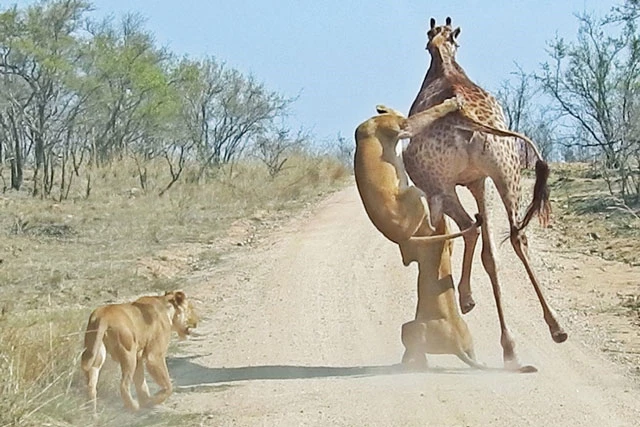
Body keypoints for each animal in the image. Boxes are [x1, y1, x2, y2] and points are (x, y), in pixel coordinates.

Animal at [402, 16, 568, 372]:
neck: (444, 62)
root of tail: (466, 117)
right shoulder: (479, 180)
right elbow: (487, 250)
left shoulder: (454, 185)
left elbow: (459, 235)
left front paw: (466, 299)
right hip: (506, 172)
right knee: (516, 237)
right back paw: (541, 335)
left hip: (440, 183)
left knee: (469, 228)